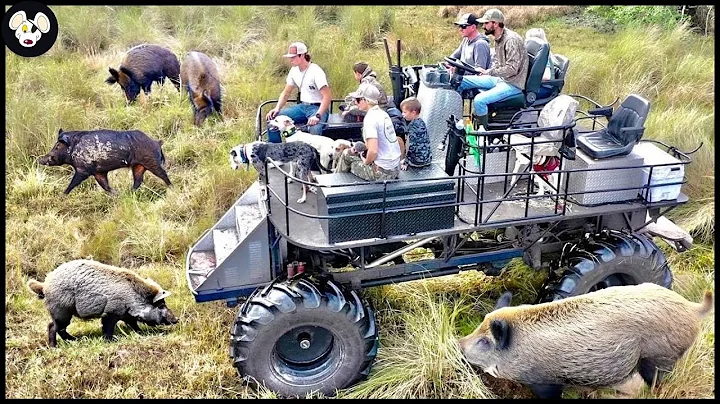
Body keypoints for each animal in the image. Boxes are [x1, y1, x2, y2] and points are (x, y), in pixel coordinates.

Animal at [27, 259, 179, 347]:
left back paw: (75, 340)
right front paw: (111, 341)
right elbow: (108, 327)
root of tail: (44, 285)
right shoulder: (111, 312)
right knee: (53, 327)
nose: (176, 319)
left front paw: (140, 333)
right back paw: (55, 347)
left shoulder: (126, 315)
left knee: (59, 329)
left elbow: (133, 324)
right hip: (61, 311)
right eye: (161, 305)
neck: (132, 297)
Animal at [38, 128, 171, 195]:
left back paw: (172, 189)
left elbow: (72, 183)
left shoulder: (83, 170)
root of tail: (157, 143)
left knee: (164, 175)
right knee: (138, 181)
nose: (40, 159)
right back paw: (127, 193)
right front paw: (116, 193)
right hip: (138, 166)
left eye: (57, 146)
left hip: (152, 162)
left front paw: (62, 195)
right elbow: (105, 186)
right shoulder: (98, 173)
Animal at [458, 283, 714, 399]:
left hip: (659, 358)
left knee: (657, 380)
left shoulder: (544, 381)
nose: (458, 343)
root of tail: (692, 308)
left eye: (485, 342)